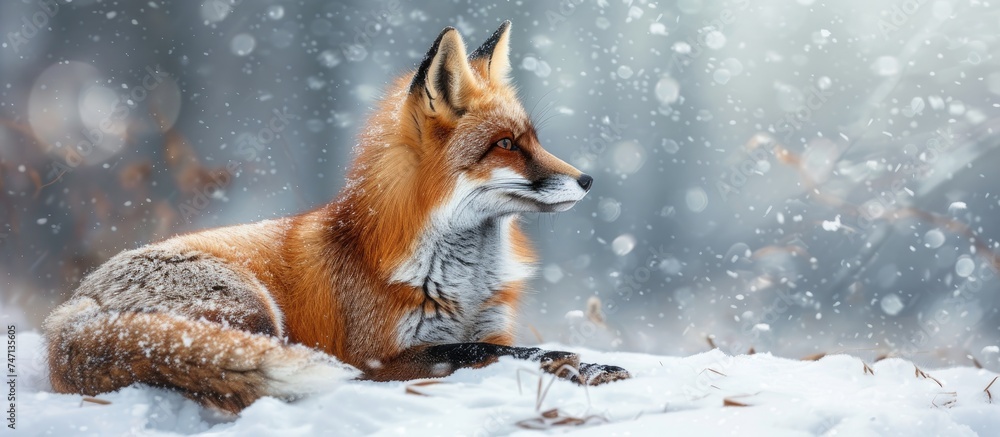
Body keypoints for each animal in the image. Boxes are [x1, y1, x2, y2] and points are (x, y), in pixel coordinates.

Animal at [43, 21, 630, 414]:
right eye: (506, 145)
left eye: (535, 139)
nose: (587, 180)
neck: (460, 281)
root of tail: (70, 309)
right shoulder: (382, 359)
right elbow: (484, 351)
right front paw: (572, 363)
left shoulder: (493, 326)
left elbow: (503, 346)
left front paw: (590, 366)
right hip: (255, 312)